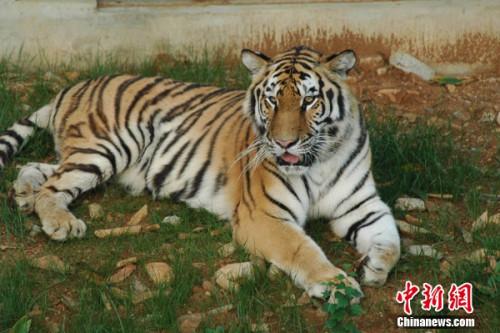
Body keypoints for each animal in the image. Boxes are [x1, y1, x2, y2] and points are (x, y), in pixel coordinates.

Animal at [0, 46, 398, 300]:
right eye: (271, 100)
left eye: (309, 100)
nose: (284, 143)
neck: (318, 160)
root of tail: (75, 85)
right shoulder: (264, 215)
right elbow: (301, 249)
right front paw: (336, 285)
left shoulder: (363, 205)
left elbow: (391, 241)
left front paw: (373, 267)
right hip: (108, 146)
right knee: (54, 185)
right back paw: (60, 222)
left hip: (92, 156)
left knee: (39, 167)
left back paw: (23, 194)